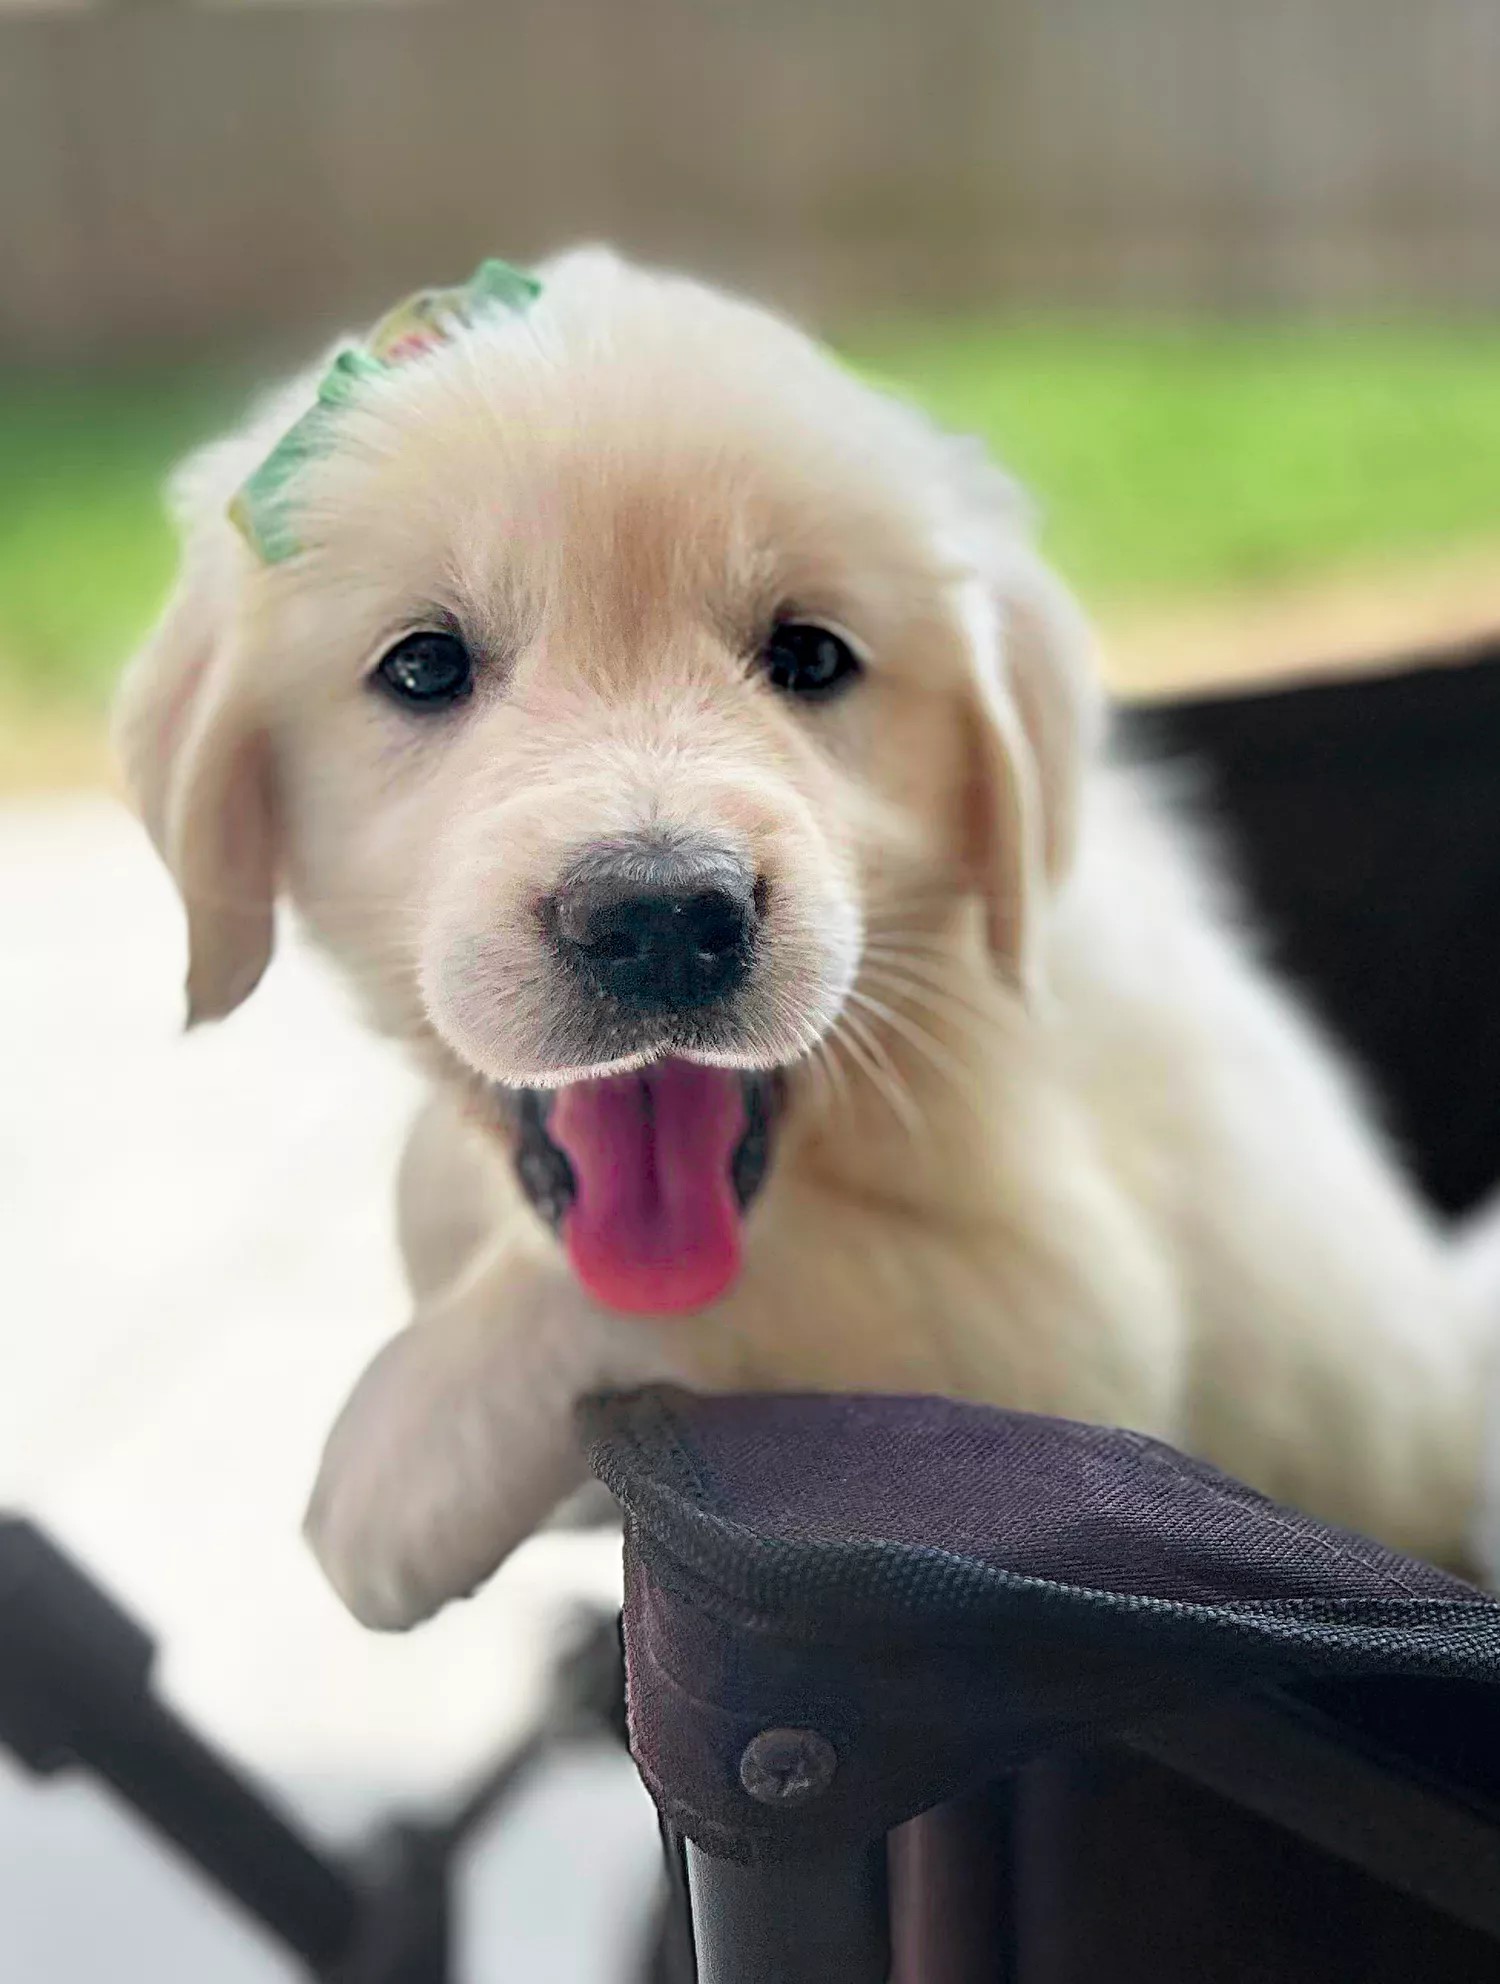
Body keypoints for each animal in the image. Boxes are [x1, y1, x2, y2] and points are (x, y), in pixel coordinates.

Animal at [114, 248, 1476, 1626]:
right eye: (425, 665)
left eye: (812, 655)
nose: (661, 916)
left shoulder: (1064, 1321)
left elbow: (730, 1282)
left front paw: (394, 1466)